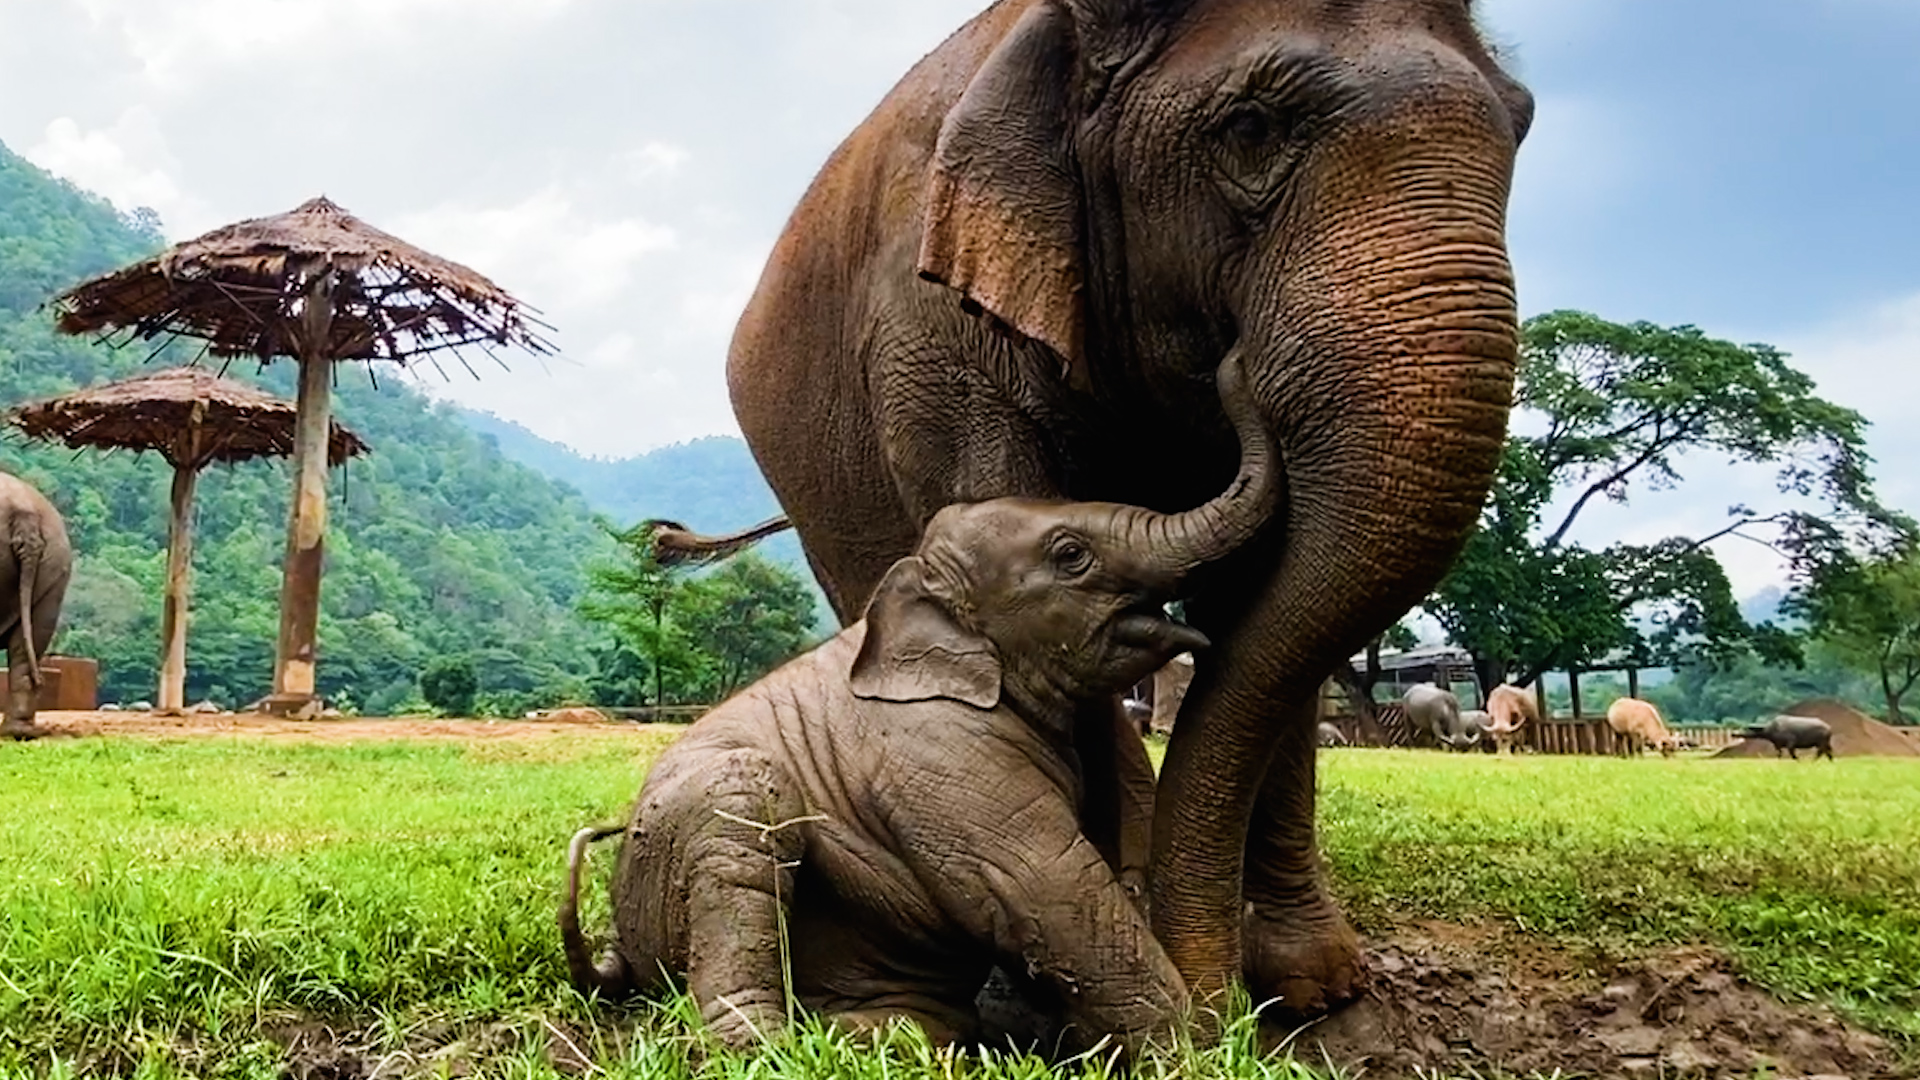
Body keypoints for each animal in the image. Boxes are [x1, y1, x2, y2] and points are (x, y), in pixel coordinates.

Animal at [560, 357, 1276, 1055]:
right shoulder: (942, 754)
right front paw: (1193, 1051)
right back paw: (767, 1046)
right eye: (1071, 554)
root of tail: (620, 948)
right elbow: (1043, 882)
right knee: (743, 845)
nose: (1232, 363)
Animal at [723, 0, 1531, 1016]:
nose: (1222, 1002)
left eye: (1523, 127)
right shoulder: (930, 324)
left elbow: (1261, 592)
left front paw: (1315, 992)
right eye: (1251, 129)